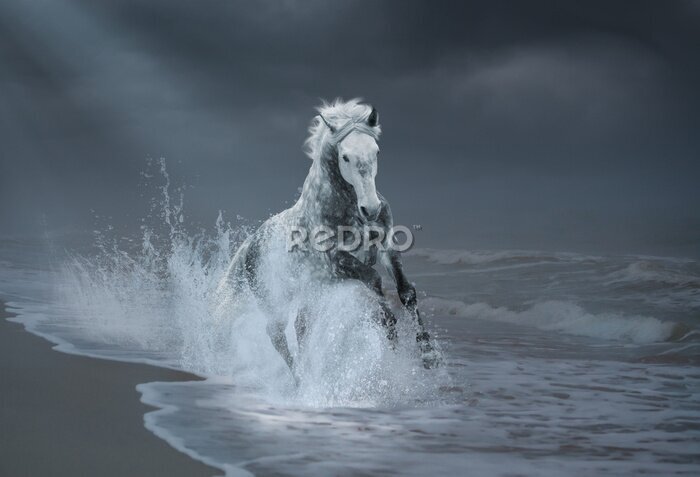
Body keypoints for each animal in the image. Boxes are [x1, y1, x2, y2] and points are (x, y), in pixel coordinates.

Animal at [219, 98, 439, 377]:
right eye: (345, 156)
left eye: (376, 151)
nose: (371, 209)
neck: (346, 208)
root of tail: (249, 245)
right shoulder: (337, 260)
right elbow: (375, 281)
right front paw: (391, 335)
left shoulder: (386, 246)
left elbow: (406, 291)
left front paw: (428, 355)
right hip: (275, 300)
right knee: (277, 332)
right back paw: (298, 379)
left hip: (312, 293)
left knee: (301, 326)